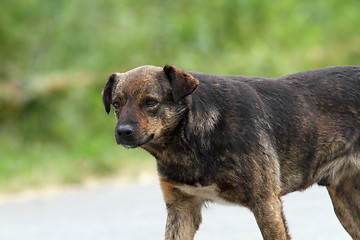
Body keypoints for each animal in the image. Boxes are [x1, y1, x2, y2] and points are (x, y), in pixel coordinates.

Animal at [102, 64, 360, 239]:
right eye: (116, 103)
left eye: (150, 102)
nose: (122, 132)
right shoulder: (182, 209)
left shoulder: (266, 204)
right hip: (346, 205)